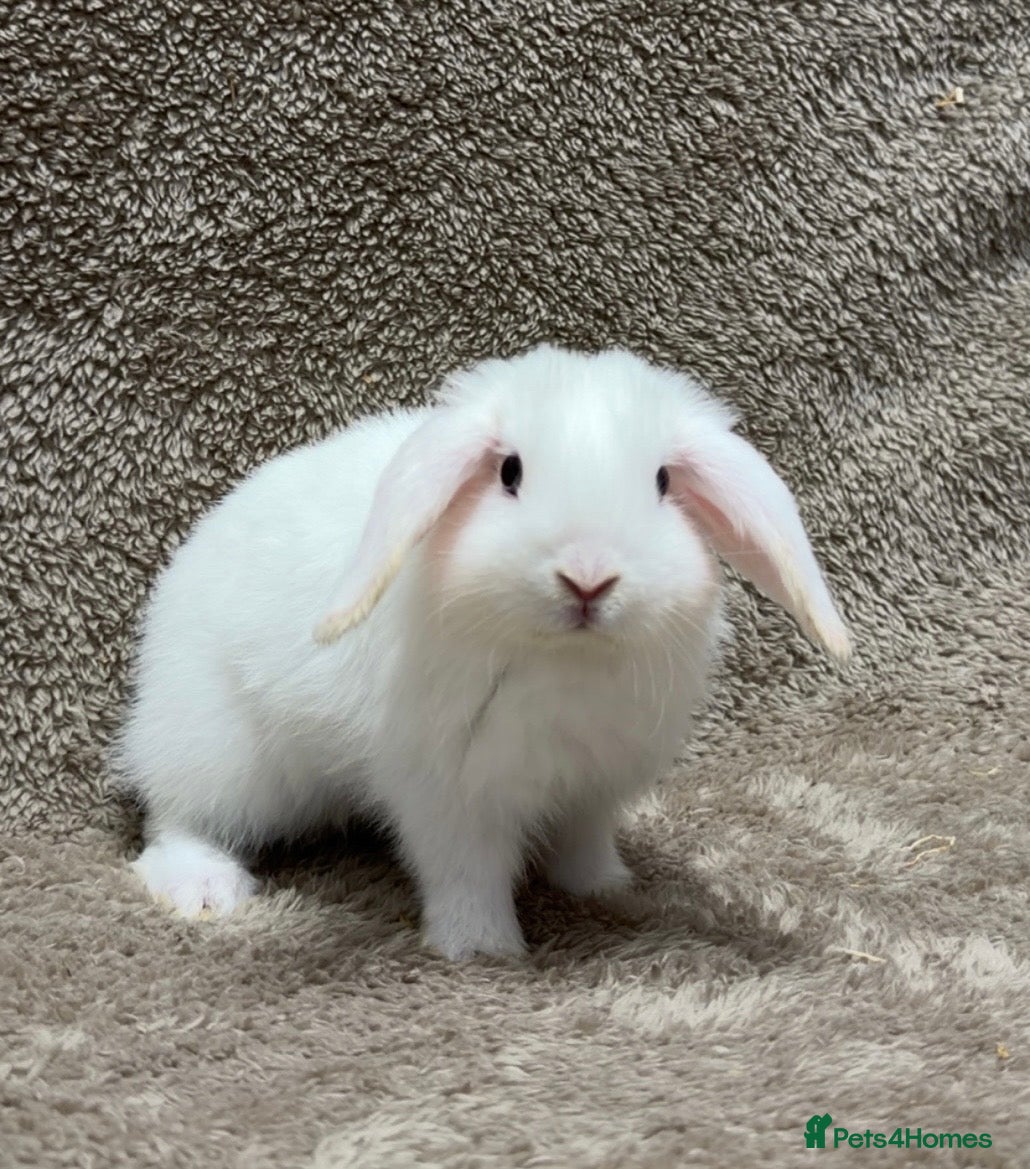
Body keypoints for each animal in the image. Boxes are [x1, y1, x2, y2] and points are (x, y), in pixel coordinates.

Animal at [115, 344, 851, 960]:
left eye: (664, 481)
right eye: (510, 471)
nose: (588, 577)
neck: (564, 658)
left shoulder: (593, 785)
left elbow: (583, 841)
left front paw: (605, 887)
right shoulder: (448, 791)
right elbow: (465, 871)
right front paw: (480, 948)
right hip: (222, 754)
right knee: (175, 821)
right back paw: (203, 889)